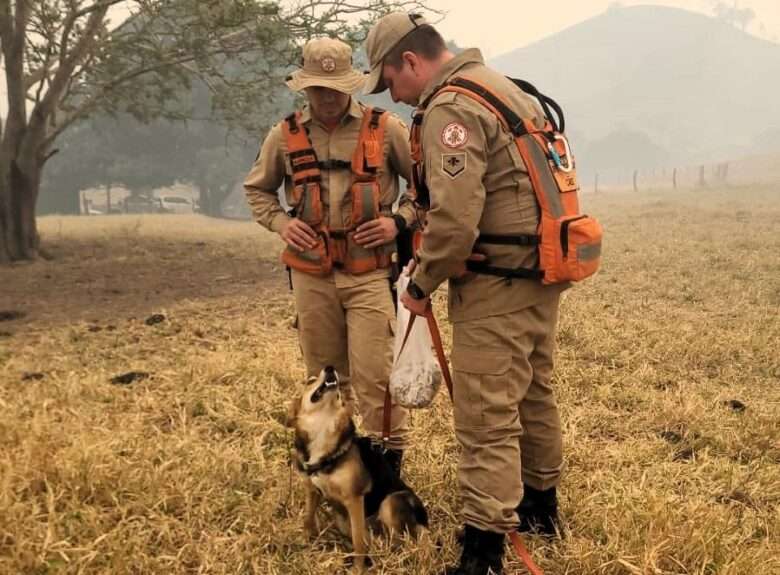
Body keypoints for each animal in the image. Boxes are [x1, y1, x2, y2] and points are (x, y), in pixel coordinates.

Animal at [286, 368, 430, 572]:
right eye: (310, 381)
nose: (330, 368)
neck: (323, 430)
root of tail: (424, 520)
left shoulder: (354, 499)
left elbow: (358, 542)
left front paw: (358, 569)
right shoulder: (312, 490)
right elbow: (308, 518)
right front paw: (306, 543)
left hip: (391, 502)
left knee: (400, 543)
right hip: (344, 518)